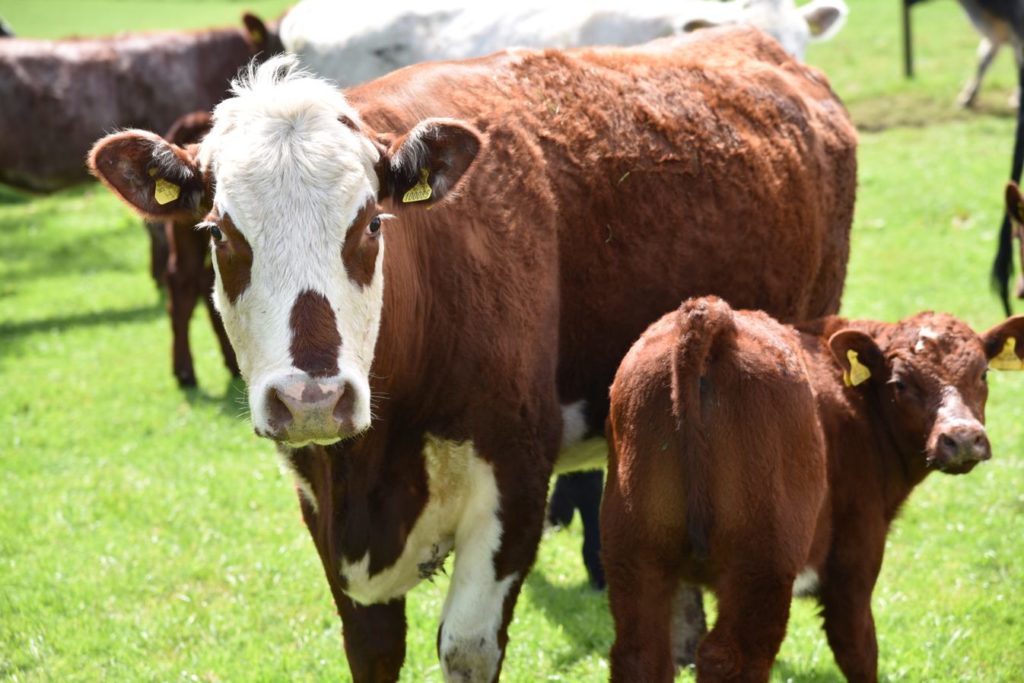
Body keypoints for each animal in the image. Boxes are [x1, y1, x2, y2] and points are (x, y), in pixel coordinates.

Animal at [86, 29, 856, 679]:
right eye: (220, 232)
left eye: (371, 224)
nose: (313, 397)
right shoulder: (319, 499)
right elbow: (372, 649)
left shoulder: (515, 475)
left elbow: (466, 646)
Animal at [598, 296, 1024, 683]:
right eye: (900, 383)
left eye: (983, 374)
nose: (963, 438)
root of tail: (709, 314)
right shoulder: (853, 560)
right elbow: (859, 650)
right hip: (762, 564)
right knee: (731, 657)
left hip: (635, 556)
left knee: (640, 654)